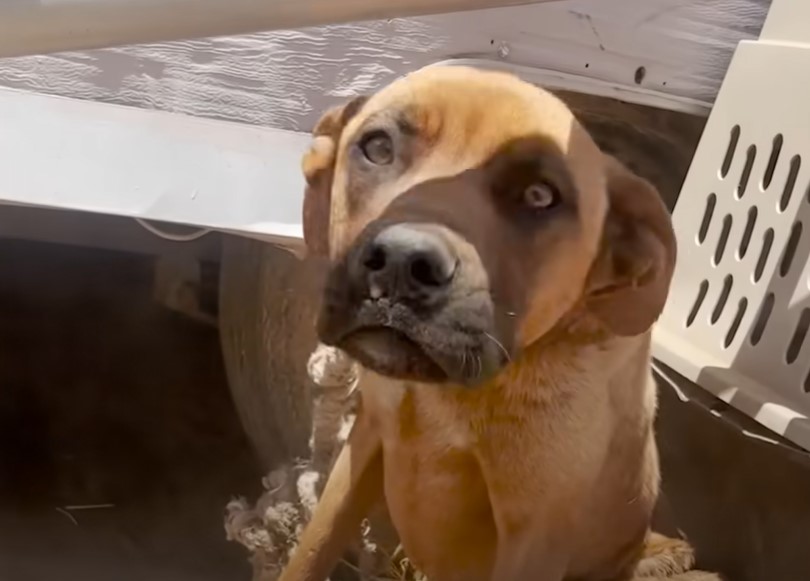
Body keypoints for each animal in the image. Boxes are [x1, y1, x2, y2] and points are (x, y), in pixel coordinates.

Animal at [282, 65, 708, 580]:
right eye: (378, 147)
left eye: (540, 195)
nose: (402, 263)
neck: (453, 395)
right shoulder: (366, 441)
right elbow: (312, 549)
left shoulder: (534, 538)